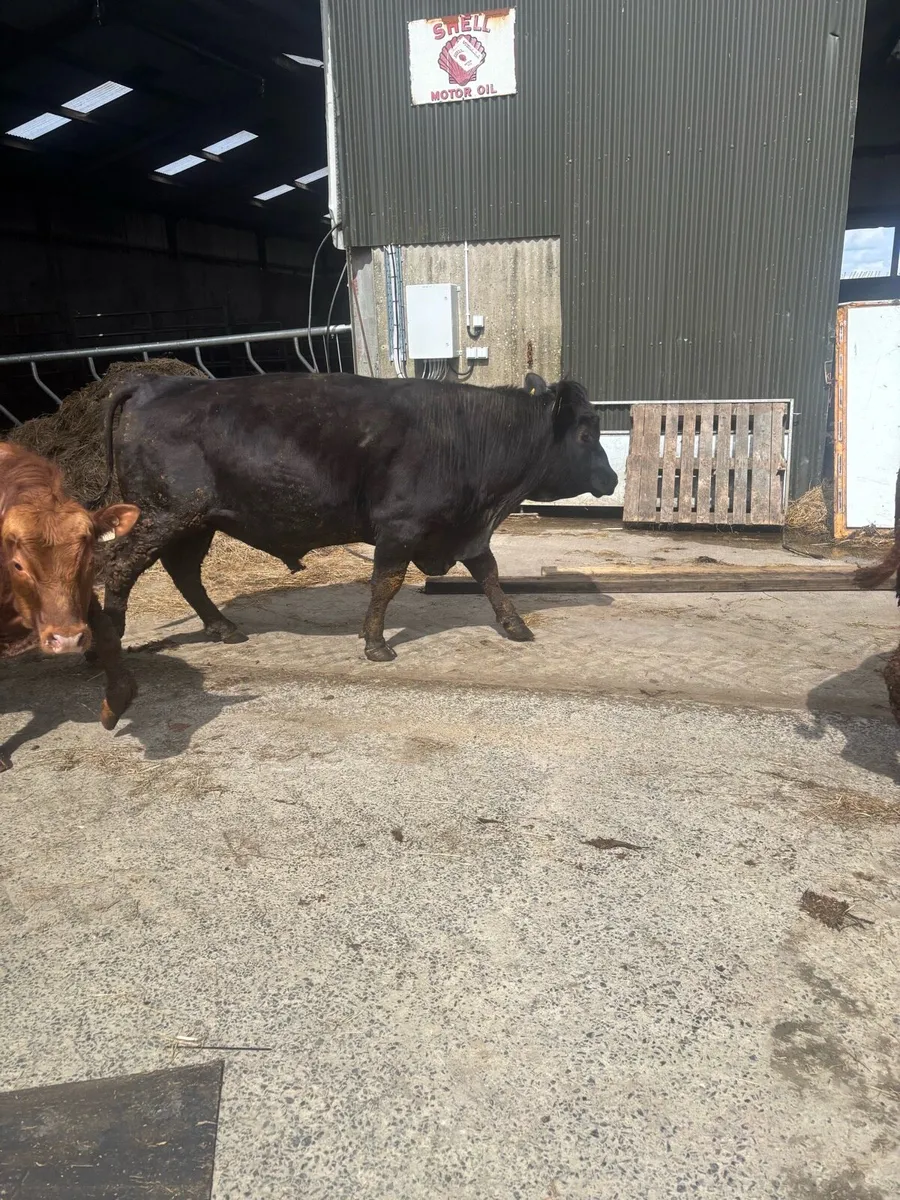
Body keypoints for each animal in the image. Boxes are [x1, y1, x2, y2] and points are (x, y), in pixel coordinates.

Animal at [0, 442, 140, 767]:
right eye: (18, 565)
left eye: (88, 559)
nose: (65, 640)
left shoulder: (81, 605)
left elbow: (106, 632)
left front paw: (117, 698)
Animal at [93, 370, 618, 661]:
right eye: (586, 434)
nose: (612, 479)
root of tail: (156, 383)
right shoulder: (400, 528)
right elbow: (386, 583)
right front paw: (376, 644)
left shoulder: (463, 530)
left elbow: (489, 574)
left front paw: (515, 626)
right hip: (164, 516)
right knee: (119, 567)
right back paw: (110, 645)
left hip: (196, 523)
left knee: (184, 573)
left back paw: (223, 628)